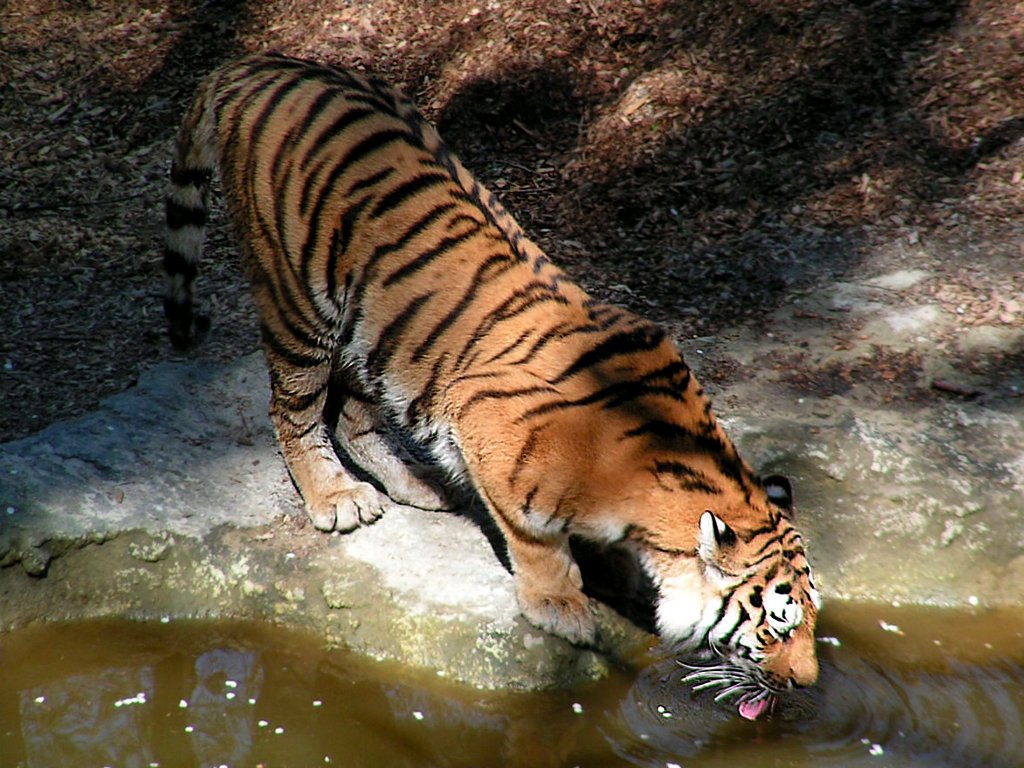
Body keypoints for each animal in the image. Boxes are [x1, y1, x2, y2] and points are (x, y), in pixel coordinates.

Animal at [165, 54, 823, 720]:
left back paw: (417, 484)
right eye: (779, 625)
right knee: (293, 407)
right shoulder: (487, 428)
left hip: (377, 331)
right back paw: (337, 497)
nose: (808, 682)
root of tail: (266, 63)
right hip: (299, 300)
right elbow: (537, 542)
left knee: (352, 412)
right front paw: (561, 609)